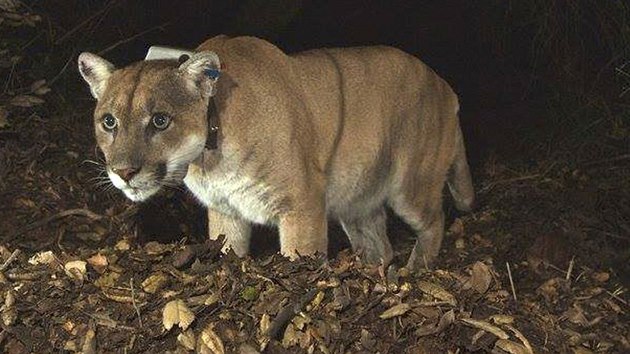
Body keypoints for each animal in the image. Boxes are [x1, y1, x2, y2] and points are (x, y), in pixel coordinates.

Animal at [78, 34, 474, 270]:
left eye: (160, 121)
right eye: (109, 122)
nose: (123, 172)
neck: (210, 156)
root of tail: (446, 87)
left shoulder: (301, 203)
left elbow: (302, 255)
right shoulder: (226, 210)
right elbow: (229, 251)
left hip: (411, 184)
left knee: (435, 221)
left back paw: (415, 270)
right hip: (356, 199)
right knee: (380, 246)